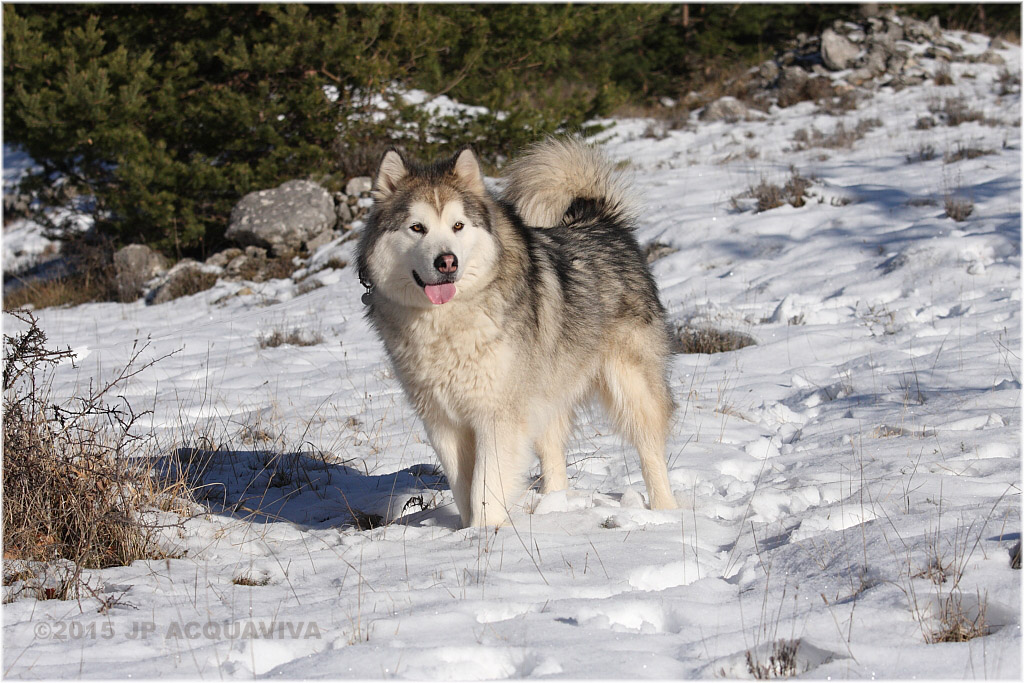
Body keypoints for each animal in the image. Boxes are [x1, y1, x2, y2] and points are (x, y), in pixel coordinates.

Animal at [356, 136, 675, 528]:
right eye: (417, 228)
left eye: (458, 226)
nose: (447, 262)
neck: (445, 321)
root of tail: (600, 221)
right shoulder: (442, 421)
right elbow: (463, 486)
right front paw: (466, 532)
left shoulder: (497, 417)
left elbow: (485, 486)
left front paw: (486, 532)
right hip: (545, 396)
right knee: (554, 458)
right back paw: (554, 507)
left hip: (630, 387)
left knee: (650, 449)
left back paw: (665, 511)